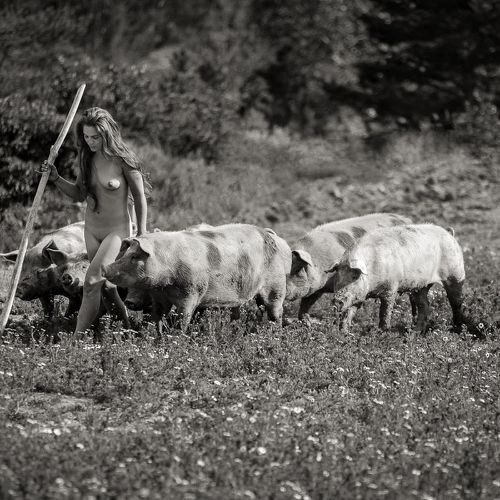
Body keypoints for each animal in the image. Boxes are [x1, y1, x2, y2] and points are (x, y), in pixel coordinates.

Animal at [102, 223, 292, 332]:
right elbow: (157, 318)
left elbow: (183, 319)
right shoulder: (159, 298)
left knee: (275, 310)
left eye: (135, 257)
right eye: (126, 254)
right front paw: (156, 338)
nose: (105, 268)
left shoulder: (191, 293)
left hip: (276, 283)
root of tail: (268, 233)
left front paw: (177, 337)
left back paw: (275, 333)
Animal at [325, 224, 467, 334]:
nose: (337, 300)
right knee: (425, 306)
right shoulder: (358, 295)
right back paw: (415, 333)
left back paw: (456, 329)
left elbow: (385, 312)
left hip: (456, 274)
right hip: (420, 286)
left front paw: (382, 332)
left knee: (457, 303)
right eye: (337, 276)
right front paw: (344, 333)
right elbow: (348, 314)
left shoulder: (391, 287)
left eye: (355, 276)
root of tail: (449, 233)